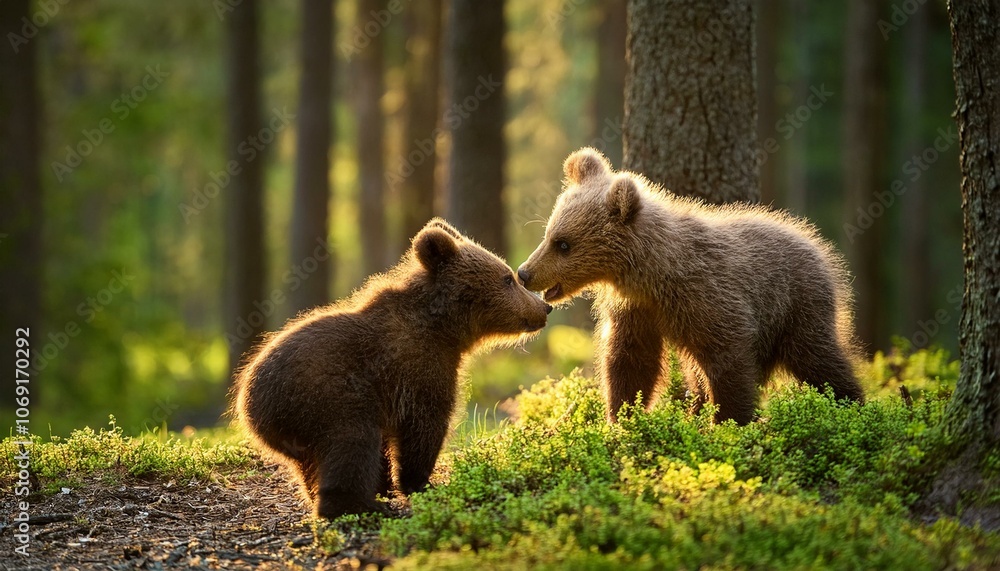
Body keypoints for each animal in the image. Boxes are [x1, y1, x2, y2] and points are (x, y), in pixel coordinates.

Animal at [233, 218, 551, 518]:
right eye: (507, 278)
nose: (544, 307)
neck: (442, 327)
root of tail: (248, 406)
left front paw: (385, 485)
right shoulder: (417, 368)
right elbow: (424, 426)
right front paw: (419, 483)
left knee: (312, 466)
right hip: (323, 398)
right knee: (352, 441)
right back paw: (359, 506)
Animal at [516, 148, 864, 425]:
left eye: (563, 244)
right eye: (548, 234)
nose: (525, 272)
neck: (652, 275)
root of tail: (816, 244)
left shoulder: (711, 300)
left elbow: (729, 362)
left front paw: (729, 421)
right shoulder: (638, 311)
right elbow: (630, 361)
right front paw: (621, 417)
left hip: (796, 305)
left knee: (818, 358)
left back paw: (850, 403)